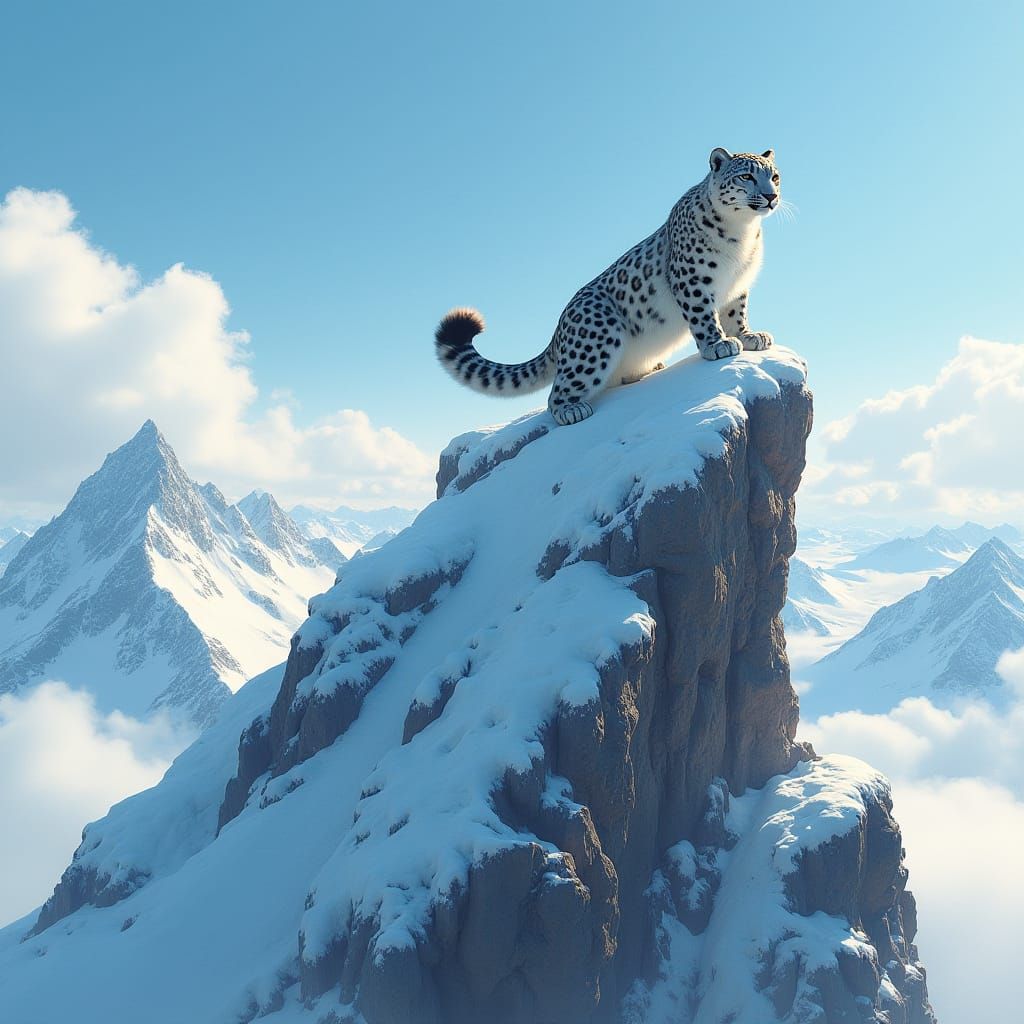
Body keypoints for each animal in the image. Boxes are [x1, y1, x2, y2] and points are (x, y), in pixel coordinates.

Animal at [434, 147, 782, 425]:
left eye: (774, 176)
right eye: (747, 176)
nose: (771, 196)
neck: (743, 233)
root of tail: (557, 335)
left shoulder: (737, 287)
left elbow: (735, 314)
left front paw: (748, 337)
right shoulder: (692, 279)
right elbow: (703, 316)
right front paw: (718, 345)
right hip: (597, 332)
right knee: (556, 394)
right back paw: (571, 411)